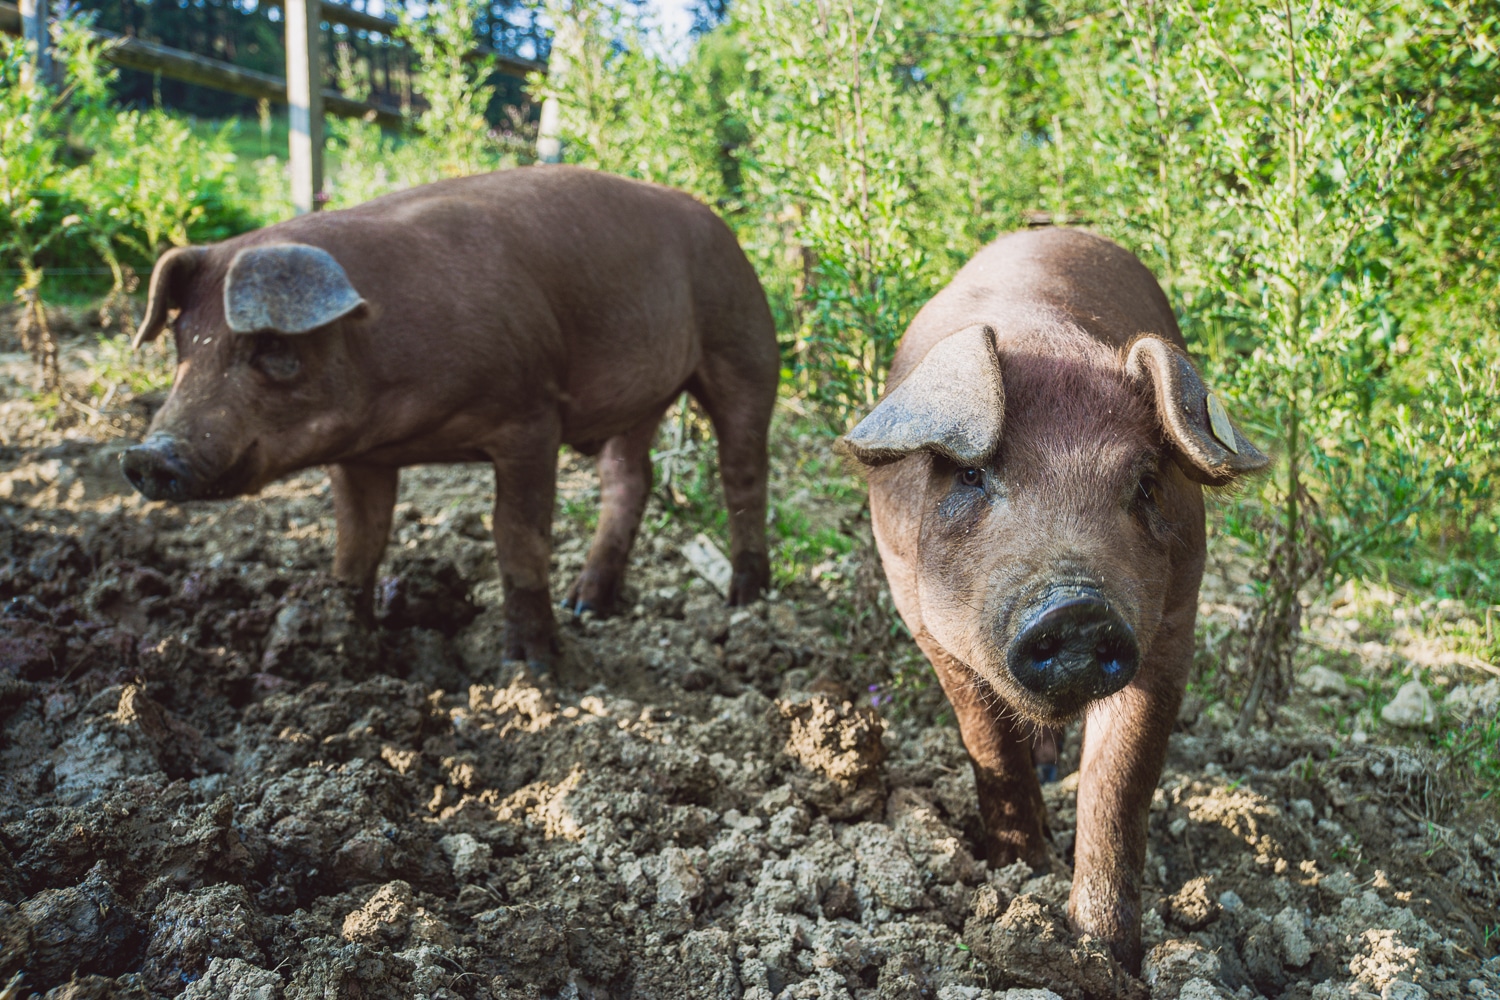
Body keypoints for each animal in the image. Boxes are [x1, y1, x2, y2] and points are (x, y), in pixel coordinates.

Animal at [124, 166, 780, 665]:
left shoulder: (531, 417)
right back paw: (587, 604)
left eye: (273, 349)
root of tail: (723, 226)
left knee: (743, 470)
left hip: (744, 342)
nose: (147, 455)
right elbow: (357, 544)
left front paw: (533, 666)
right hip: (637, 399)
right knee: (630, 479)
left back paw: (745, 601)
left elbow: (515, 536)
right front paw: (347, 644)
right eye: (182, 343)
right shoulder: (359, 457)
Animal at [846, 226, 1266, 971]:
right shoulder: (925, 624)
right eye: (974, 476)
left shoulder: (1172, 626)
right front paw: (1021, 870)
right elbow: (987, 741)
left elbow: (1119, 782)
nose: (1077, 608)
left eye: (1145, 485)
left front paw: (1106, 952)